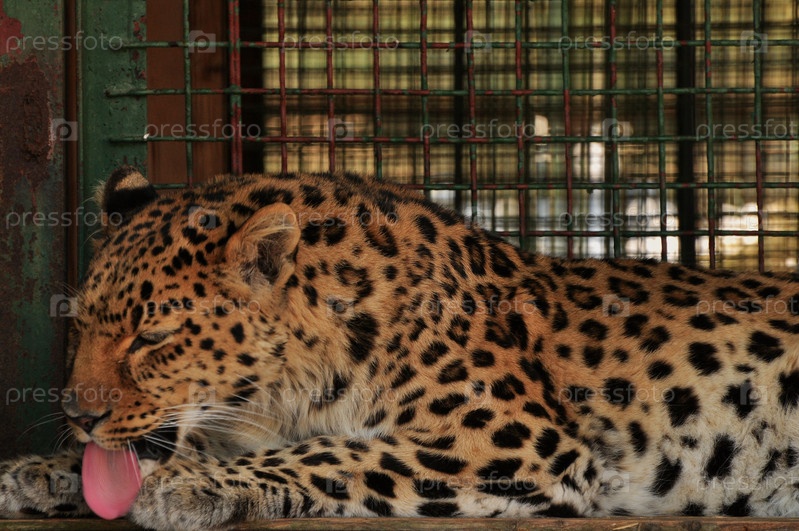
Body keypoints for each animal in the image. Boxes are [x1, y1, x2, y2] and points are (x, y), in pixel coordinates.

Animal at [3, 165, 799, 530]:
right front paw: (40, 470)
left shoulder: (516, 445)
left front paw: (191, 483)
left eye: (154, 337)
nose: (78, 416)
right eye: (82, 323)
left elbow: (331, 454)